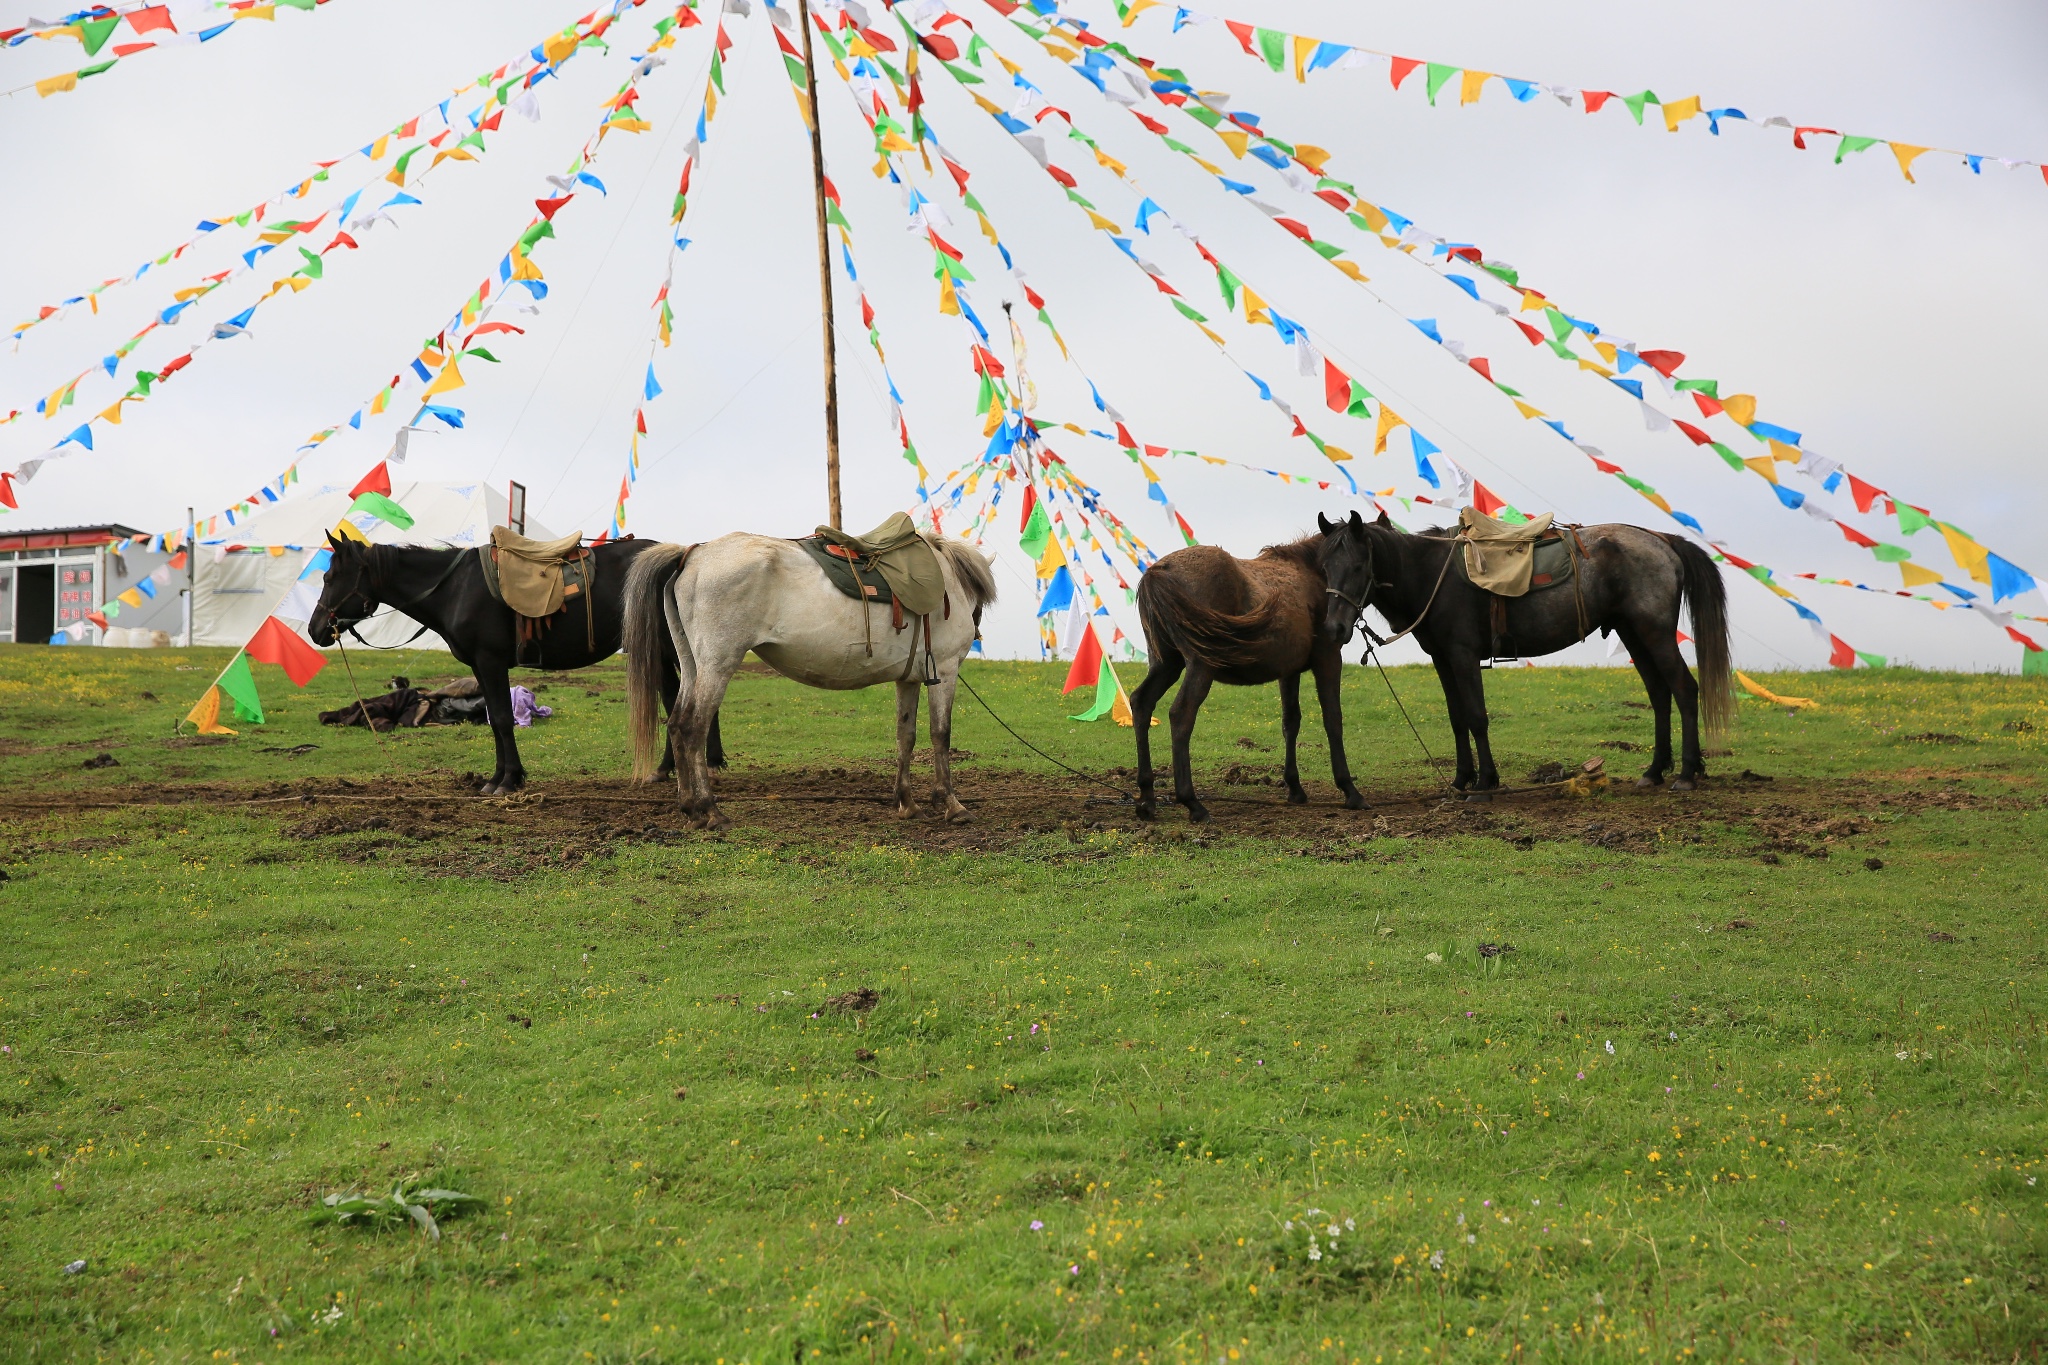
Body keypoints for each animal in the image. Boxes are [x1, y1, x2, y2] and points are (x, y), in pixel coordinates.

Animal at [299, 532, 724, 789]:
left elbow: (503, 719)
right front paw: (504, 776)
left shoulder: (490, 661)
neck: (454, 588)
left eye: (330, 577)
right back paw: (673, 767)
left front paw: (506, 780)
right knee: (677, 698)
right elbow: (494, 720)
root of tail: (682, 556)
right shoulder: (479, 666)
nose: (316, 629)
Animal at [626, 536, 1003, 834]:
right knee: (693, 727)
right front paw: (952, 805)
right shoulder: (945, 671)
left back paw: (690, 809)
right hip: (717, 665)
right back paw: (709, 810)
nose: (977, 630)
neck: (947, 583)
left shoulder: (908, 679)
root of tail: (693, 554)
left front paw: (907, 803)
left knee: (677, 724)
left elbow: (905, 737)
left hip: (693, 666)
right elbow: (941, 735)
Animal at [1130, 511, 1368, 822]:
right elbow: (1333, 720)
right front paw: (1350, 790)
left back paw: (1147, 797)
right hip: (1199, 667)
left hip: (1166, 665)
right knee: (1181, 714)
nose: (1339, 628)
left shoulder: (1289, 672)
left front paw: (1295, 788)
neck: (1309, 573)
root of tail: (1159, 571)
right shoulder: (1328, 660)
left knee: (1141, 703)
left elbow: (1290, 722)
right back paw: (1192, 802)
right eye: (1357, 566)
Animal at [1318, 509, 1736, 789]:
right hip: (1633, 633)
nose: (1334, 627)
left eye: (1358, 567)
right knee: (1659, 694)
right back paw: (1653, 771)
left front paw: (1485, 783)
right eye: (1324, 566)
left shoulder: (1463, 656)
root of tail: (1661, 539)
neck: (1430, 571)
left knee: (1684, 690)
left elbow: (1476, 716)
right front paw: (1461, 779)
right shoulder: (1442, 659)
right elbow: (1456, 719)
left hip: (1655, 633)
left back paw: (1686, 773)